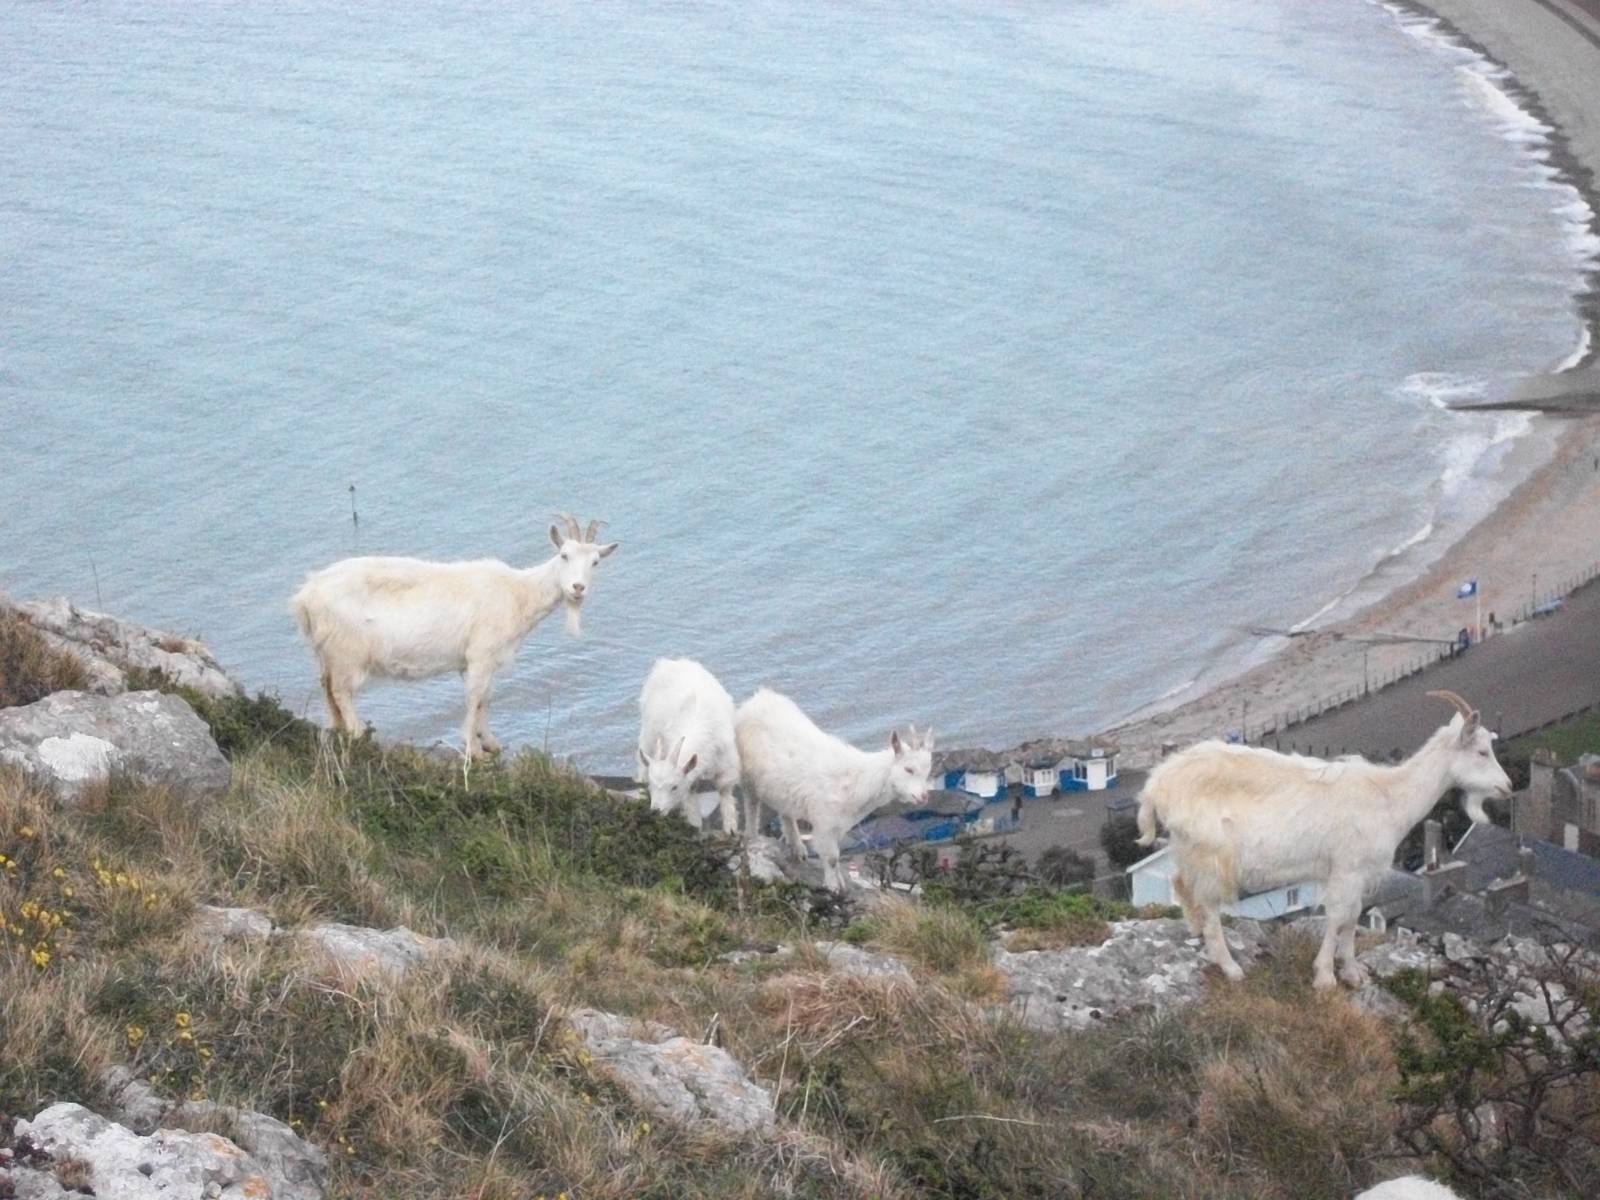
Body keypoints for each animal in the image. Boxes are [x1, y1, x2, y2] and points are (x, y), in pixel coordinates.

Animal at [290, 514, 618, 758]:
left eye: (595, 562)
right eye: (563, 555)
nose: (578, 587)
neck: (518, 593)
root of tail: (306, 595)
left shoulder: (485, 660)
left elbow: (486, 698)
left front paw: (490, 742)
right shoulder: (480, 655)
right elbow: (474, 697)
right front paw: (473, 749)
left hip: (328, 650)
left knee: (326, 686)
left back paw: (336, 729)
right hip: (348, 650)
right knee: (340, 691)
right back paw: (359, 733)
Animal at [636, 658, 741, 833]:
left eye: (674, 787)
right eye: (651, 786)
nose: (656, 811)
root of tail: (668, 662)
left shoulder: (726, 764)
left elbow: (724, 790)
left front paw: (730, 828)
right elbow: (691, 796)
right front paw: (695, 826)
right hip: (648, 732)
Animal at [735, 687, 933, 891]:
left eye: (928, 771)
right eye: (908, 769)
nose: (923, 796)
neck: (858, 781)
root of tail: (759, 697)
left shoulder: (839, 825)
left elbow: (837, 856)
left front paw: (841, 882)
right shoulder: (824, 822)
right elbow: (831, 858)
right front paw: (833, 887)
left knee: (786, 813)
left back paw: (798, 849)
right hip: (748, 776)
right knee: (751, 805)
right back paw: (752, 838)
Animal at [1135, 691, 1511, 990]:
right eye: (1481, 751)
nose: (1506, 787)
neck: (1390, 796)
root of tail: (1157, 784)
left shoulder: (1356, 872)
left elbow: (1353, 917)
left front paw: (1354, 973)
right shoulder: (1347, 867)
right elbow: (1337, 917)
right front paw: (1326, 976)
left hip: (1186, 847)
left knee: (1179, 883)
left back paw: (1196, 933)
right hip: (1211, 854)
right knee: (1209, 906)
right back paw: (1229, 967)